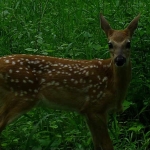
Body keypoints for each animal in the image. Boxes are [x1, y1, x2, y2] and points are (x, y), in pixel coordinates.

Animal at [0, 13, 139, 149]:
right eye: (110, 44)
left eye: (128, 43)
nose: (119, 60)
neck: (112, 82)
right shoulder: (95, 107)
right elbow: (107, 145)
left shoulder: (87, 112)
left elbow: (97, 144)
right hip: (19, 96)